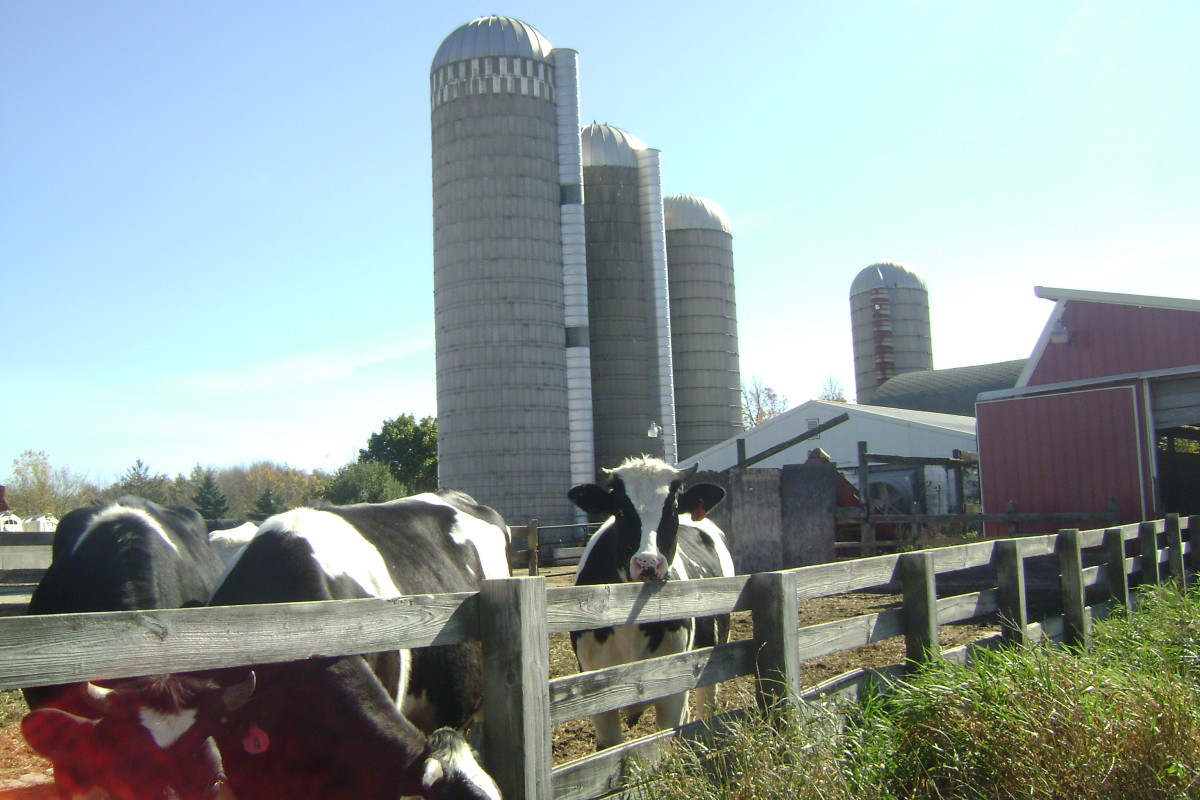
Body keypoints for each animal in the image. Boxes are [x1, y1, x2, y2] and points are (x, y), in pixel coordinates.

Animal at [566, 455, 734, 753]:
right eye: (621, 511)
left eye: (673, 510)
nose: (648, 563)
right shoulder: (595, 687)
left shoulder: (673, 685)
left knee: (705, 706)